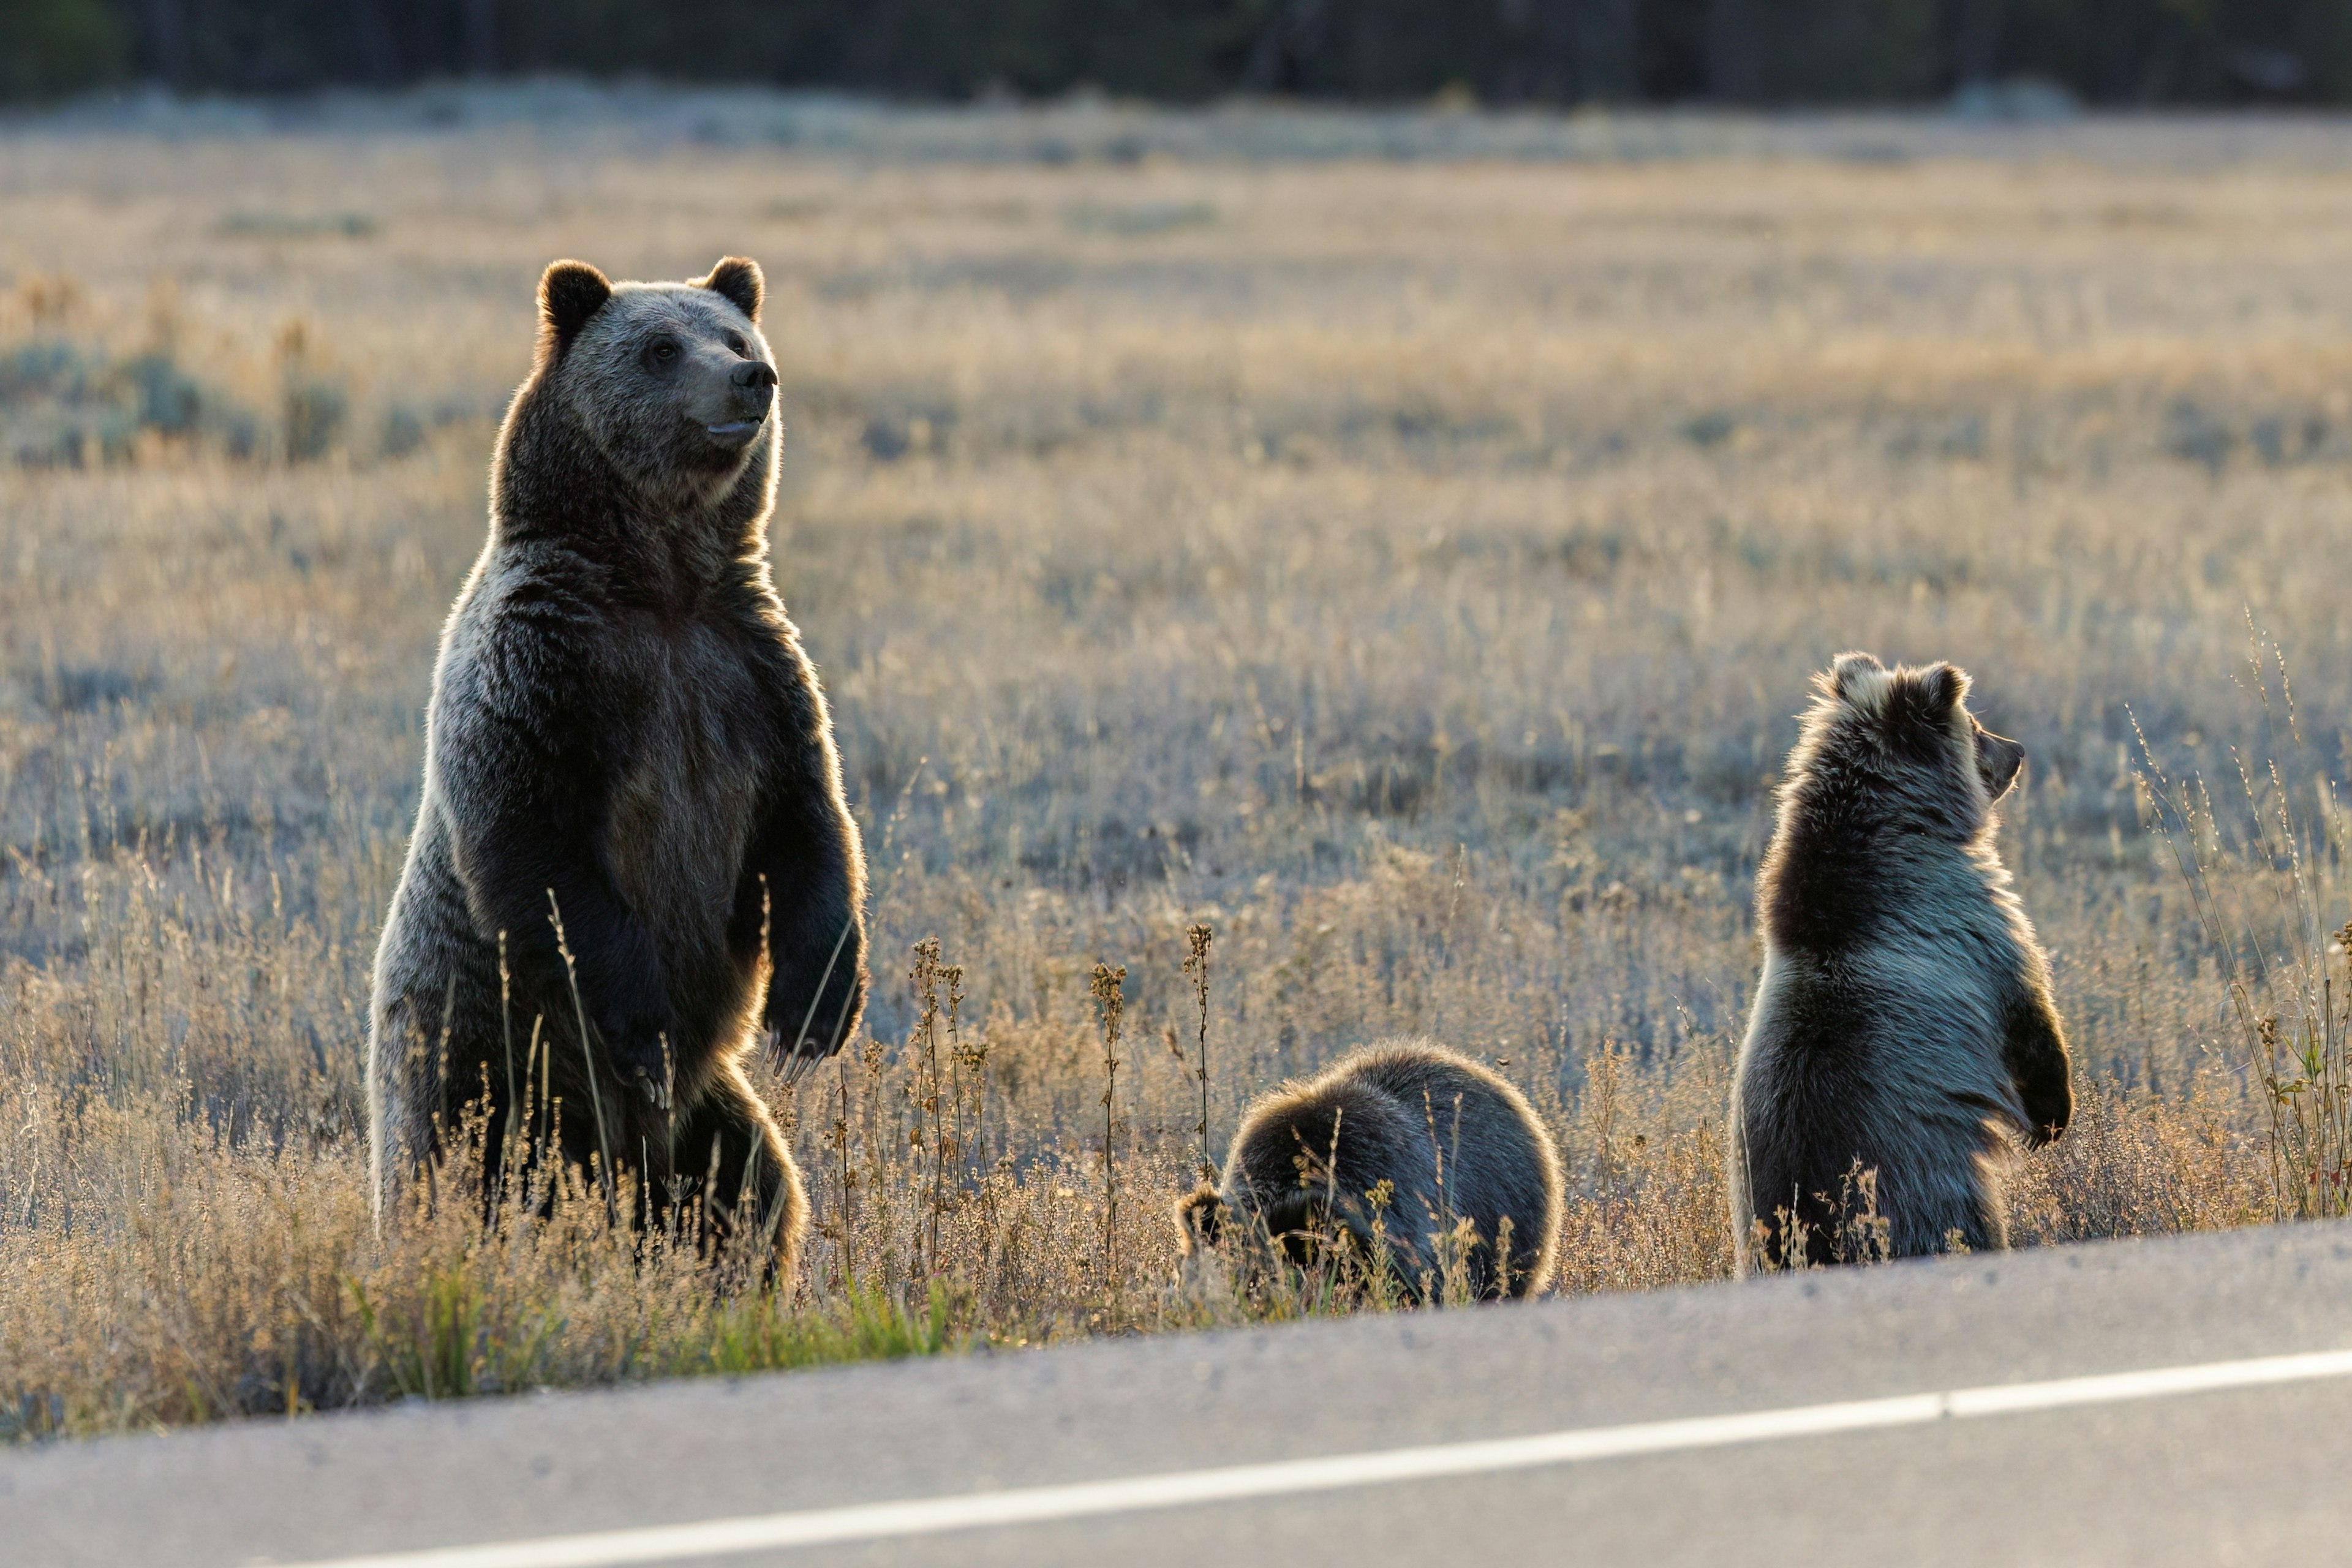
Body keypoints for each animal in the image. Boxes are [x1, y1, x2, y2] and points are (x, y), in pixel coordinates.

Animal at [371, 255, 870, 1288]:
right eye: (661, 347)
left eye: (736, 335)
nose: (752, 380)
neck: (662, 586)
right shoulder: (547, 672)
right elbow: (543, 855)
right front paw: (646, 1027)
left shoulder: (751, 675)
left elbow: (811, 827)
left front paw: (814, 1014)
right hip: (487, 1057)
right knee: (465, 1178)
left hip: (707, 1115)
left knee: (749, 1187)